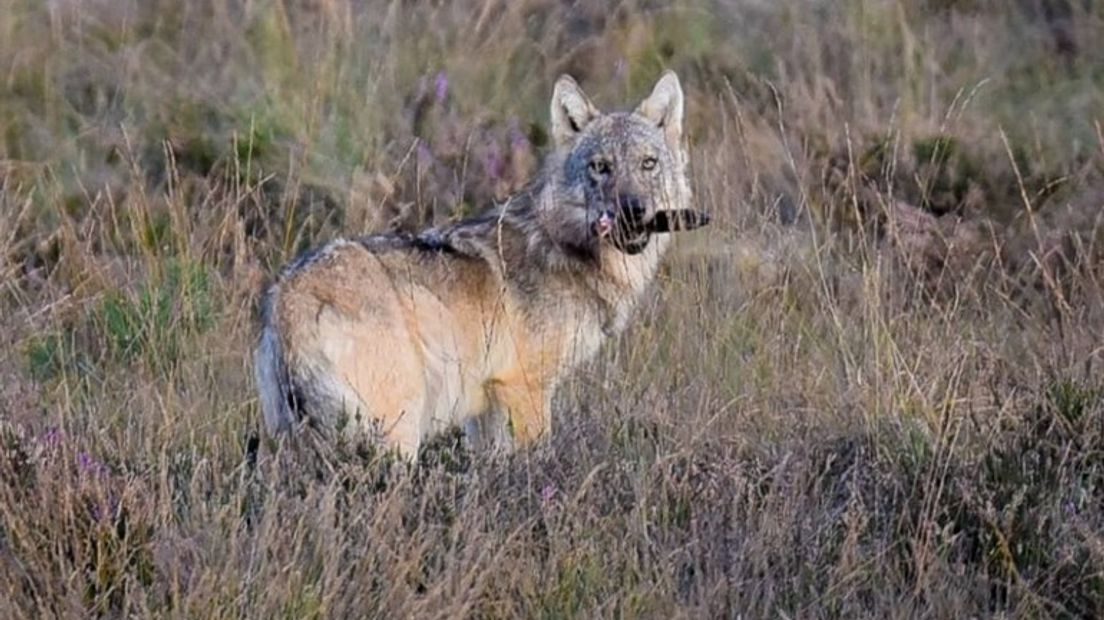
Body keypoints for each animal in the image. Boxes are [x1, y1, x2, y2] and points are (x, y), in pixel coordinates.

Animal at [252, 71, 706, 458]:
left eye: (648, 163)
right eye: (601, 167)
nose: (633, 211)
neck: (562, 245)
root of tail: (287, 295)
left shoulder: (486, 406)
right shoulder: (526, 389)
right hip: (399, 432)